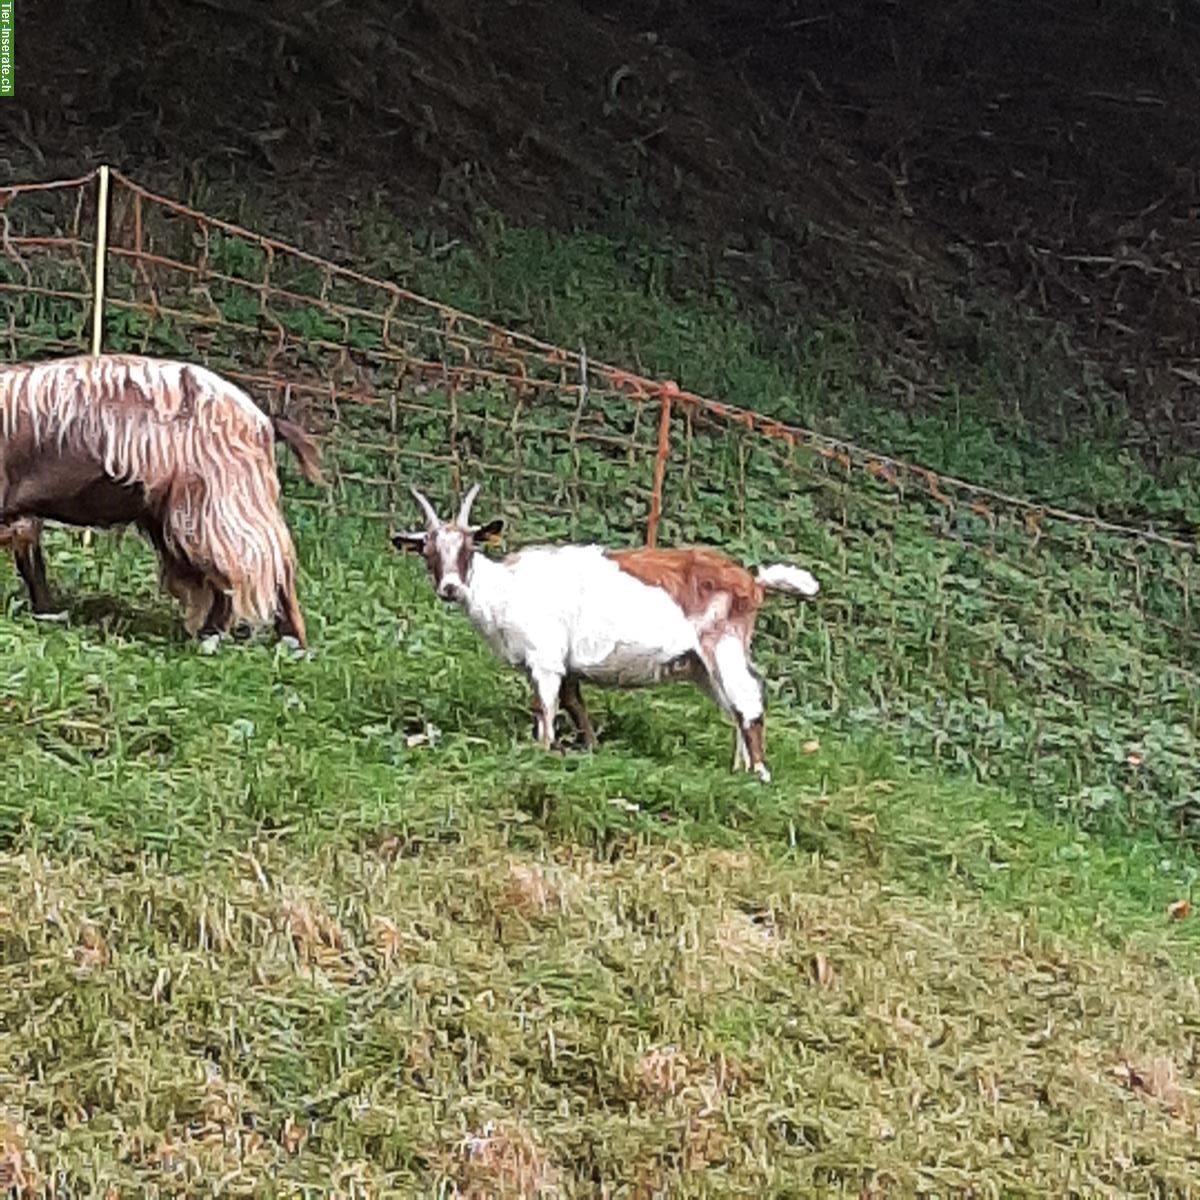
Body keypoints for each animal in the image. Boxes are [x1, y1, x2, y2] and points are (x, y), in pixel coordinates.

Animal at [0, 350, 324, 648]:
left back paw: (280, 641)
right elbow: (32, 563)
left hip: (216, 503)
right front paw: (47, 614)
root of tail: (262, 422)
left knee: (265, 564)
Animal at [388, 482, 820, 782]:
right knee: (734, 708)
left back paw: (760, 774)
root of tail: (753, 582)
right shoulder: (563, 664)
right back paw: (738, 772)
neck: (504, 589)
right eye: (428, 552)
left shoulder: (545, 659)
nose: (450, 589)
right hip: (700, 665)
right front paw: (591, 750)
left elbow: (546, 708)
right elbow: (574, 704)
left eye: (468, 549)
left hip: (723, 643)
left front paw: (543, 753)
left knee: (748, 702)